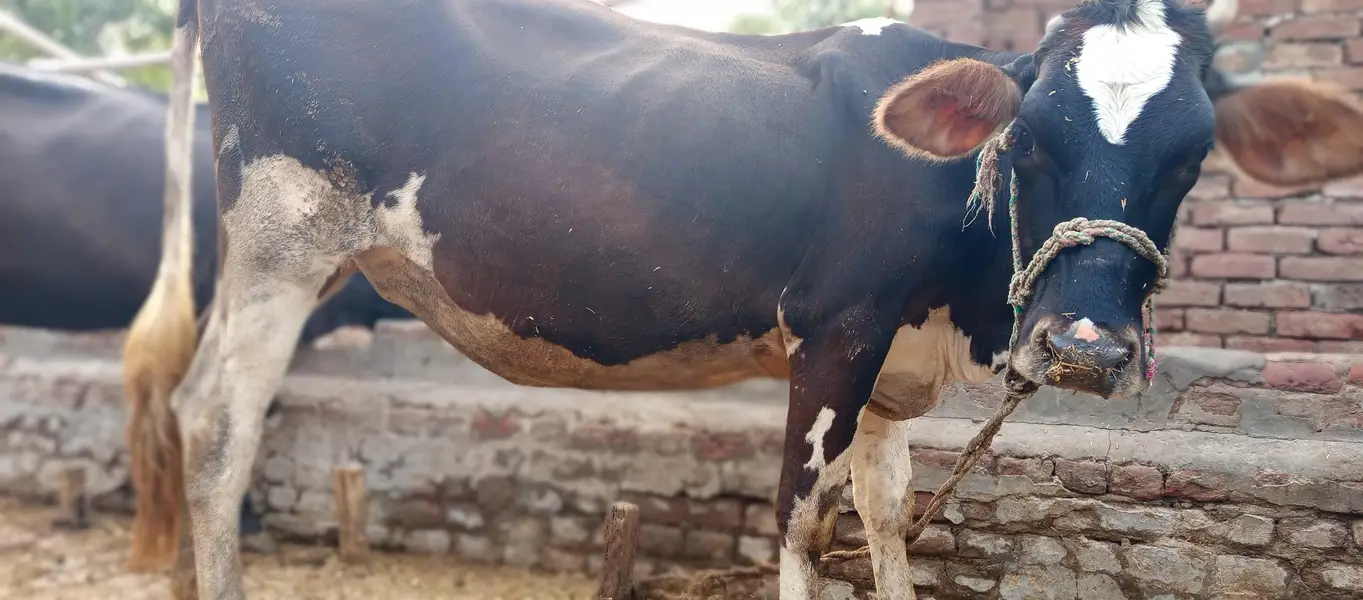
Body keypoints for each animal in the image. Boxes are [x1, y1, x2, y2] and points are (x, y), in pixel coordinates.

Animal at [133, 0, 1363, 598]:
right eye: (1029, 140)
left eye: (1190, 159)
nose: (1085, 349)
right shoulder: (835, 333)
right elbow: (801, 523)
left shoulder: (890, 372)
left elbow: (886, 522)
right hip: (285, 237)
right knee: (218, 424)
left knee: (190, 409)